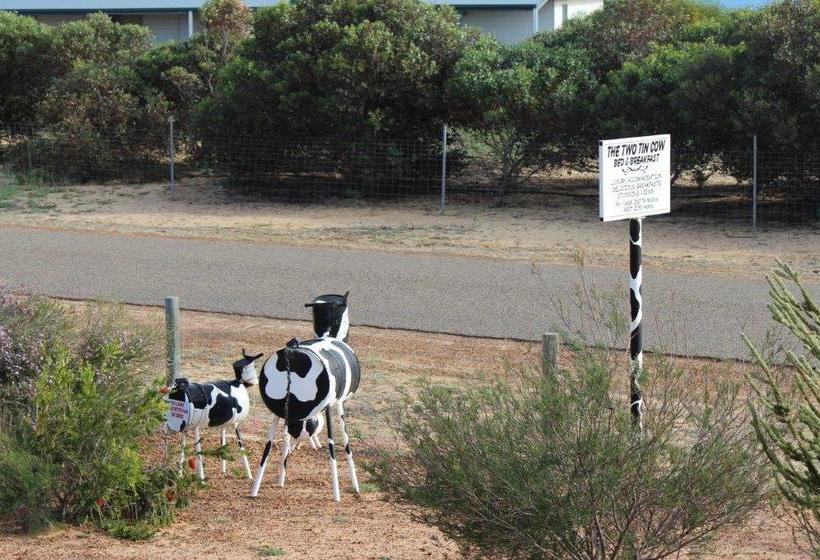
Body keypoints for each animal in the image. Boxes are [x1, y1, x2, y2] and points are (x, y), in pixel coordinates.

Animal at [165, 349, 263, 481]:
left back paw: (246, 475)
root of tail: (239, 382)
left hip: (231, 422)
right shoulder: (191, 427)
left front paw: (200, 480)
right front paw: (188, 478)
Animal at [250, 292, 361, 501]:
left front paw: (280, 480)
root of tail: (290, 353)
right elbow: (346, 447)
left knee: (269, 446)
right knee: (330, 447)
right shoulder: (337, 404)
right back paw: (336, 495)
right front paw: (354, 489)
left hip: (280, 413)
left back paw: (255, 490)